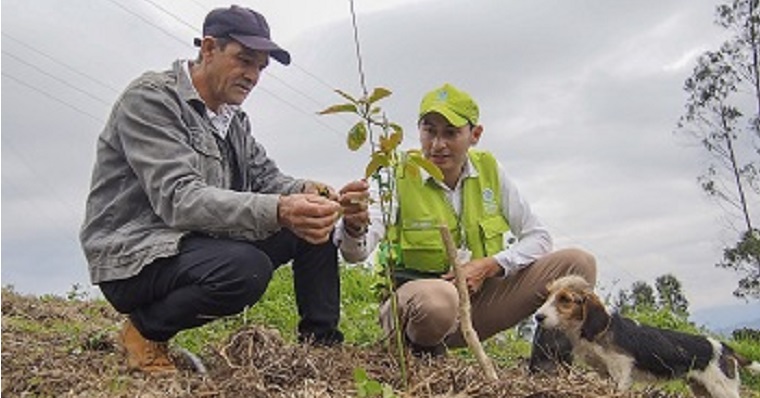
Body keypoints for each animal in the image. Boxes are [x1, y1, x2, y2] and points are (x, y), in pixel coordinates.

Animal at [536, 276, 760, 398]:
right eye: (548, 296)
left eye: (565, 299)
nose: (538, 317)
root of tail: (724, 347)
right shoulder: (603, 373)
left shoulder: (621, 372)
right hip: (701, 389)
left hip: (723, 389)